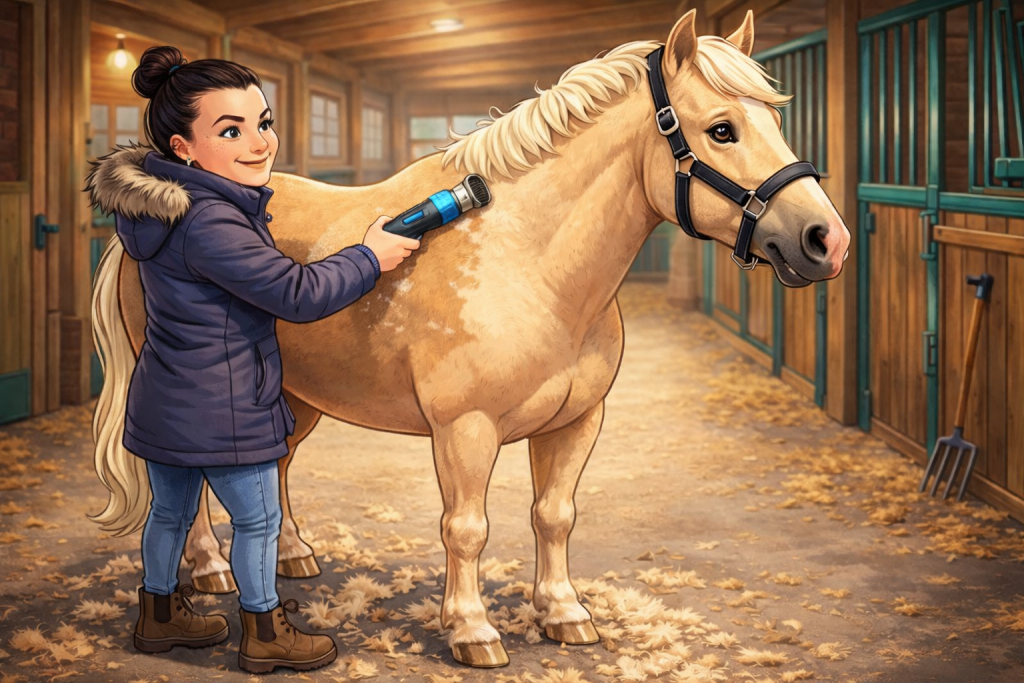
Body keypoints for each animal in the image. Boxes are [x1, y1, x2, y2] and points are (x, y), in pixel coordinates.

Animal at [90, 8, 850, 668]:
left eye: (773, 119)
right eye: (722, 129)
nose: (827, 240)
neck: (529, 262)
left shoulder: (577, 420)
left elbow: (554, 515)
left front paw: (564, 613)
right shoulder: (465, 428)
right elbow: (467, 526)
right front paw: (473, 631)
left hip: (298, 396)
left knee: (273, 469)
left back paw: (295, 556)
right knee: (190, 486)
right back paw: (212, 569)